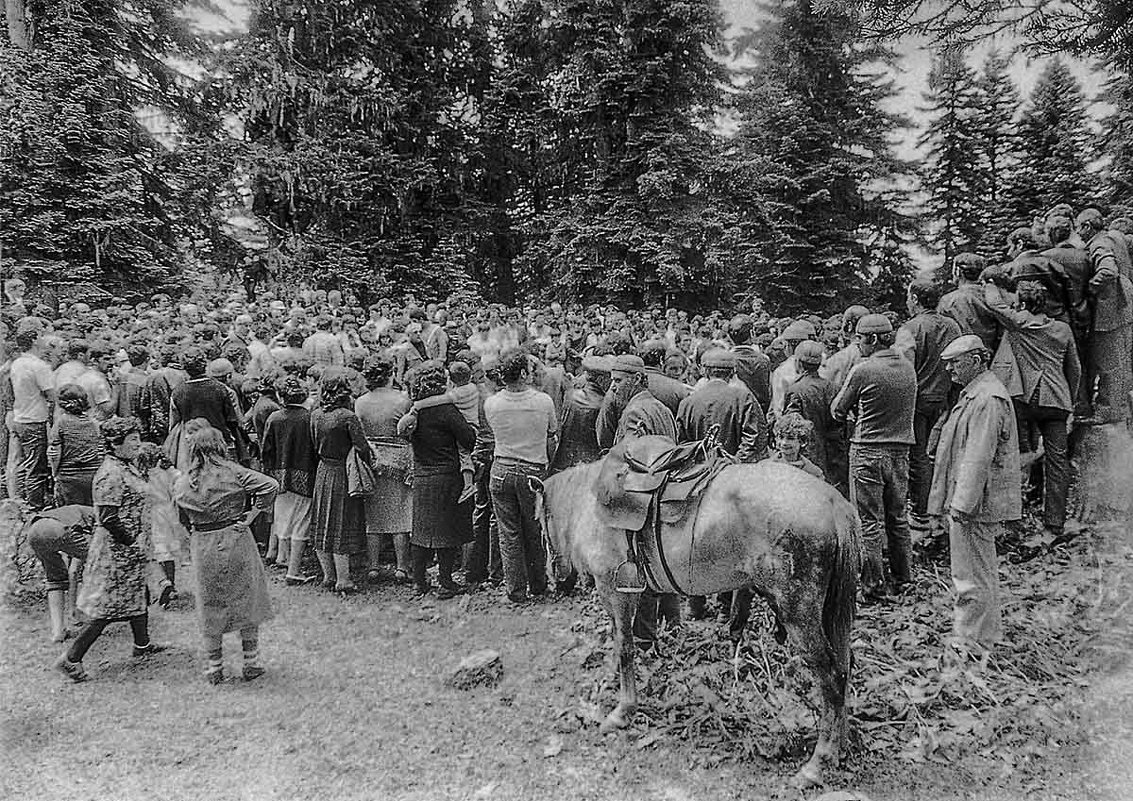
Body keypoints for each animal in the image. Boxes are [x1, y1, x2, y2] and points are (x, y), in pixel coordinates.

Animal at [532, 457, 856, 788]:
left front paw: (623, 710)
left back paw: (817, 762)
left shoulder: (615, 590)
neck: (592, 502)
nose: (554, 572)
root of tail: (833, 502)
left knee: (830, 677)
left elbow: (625, 648)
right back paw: (839, 747)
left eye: (539, 520)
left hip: (799, 614)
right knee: (844, 669)